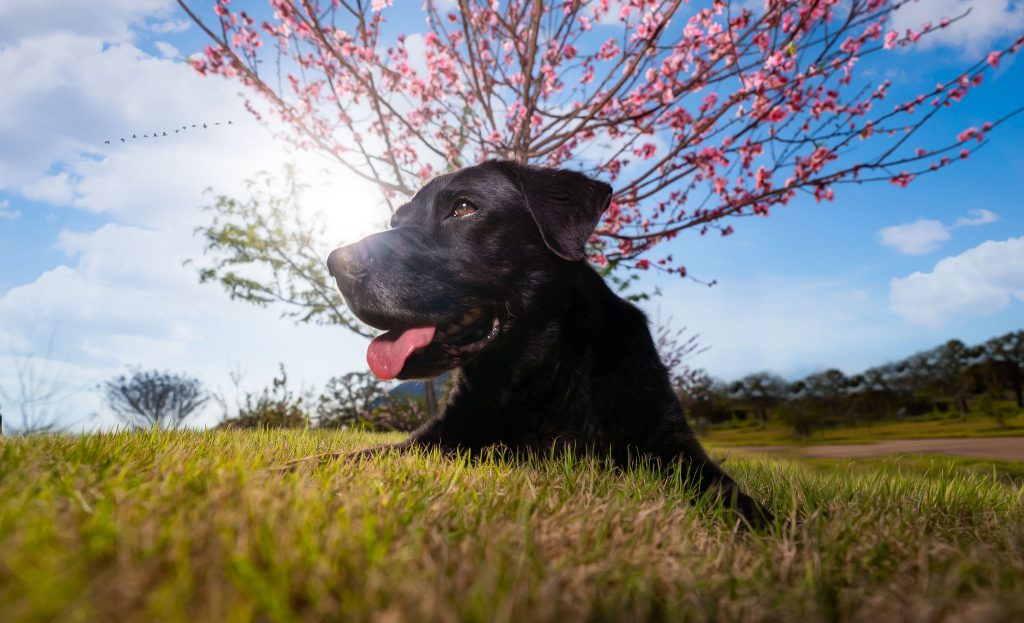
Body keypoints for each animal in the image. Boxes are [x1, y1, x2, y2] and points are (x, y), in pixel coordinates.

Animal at [327, 160, 770, 524]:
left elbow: (726, 492)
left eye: (464, 208)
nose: (336, 263)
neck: (540, 374)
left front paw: (766, 530)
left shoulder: (671, 442)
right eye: (395, 221)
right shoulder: (435, 438)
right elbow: (344, 457)